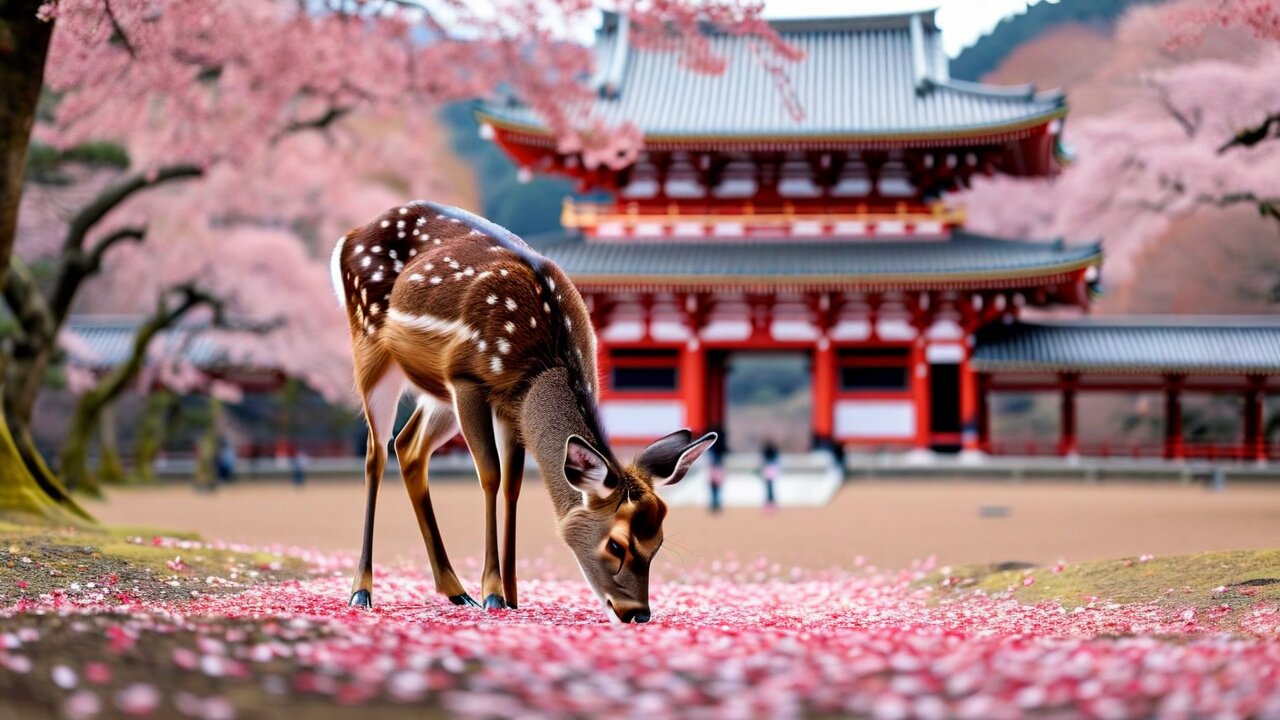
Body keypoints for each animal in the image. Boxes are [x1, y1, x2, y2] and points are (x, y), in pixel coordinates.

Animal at [330, 201, 716, 623]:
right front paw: (493, 594)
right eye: (616, 544)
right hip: (371, 346)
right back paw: (362, 592)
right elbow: (491, 474)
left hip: (438, 394)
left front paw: (512, 595)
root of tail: (349, 237)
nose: (638, 613)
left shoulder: (511, 406)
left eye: (657, 542)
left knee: (409, 447)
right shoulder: (467, 379)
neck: (542, 368)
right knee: (376, 453)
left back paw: (455, 591)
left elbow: (513, 484)